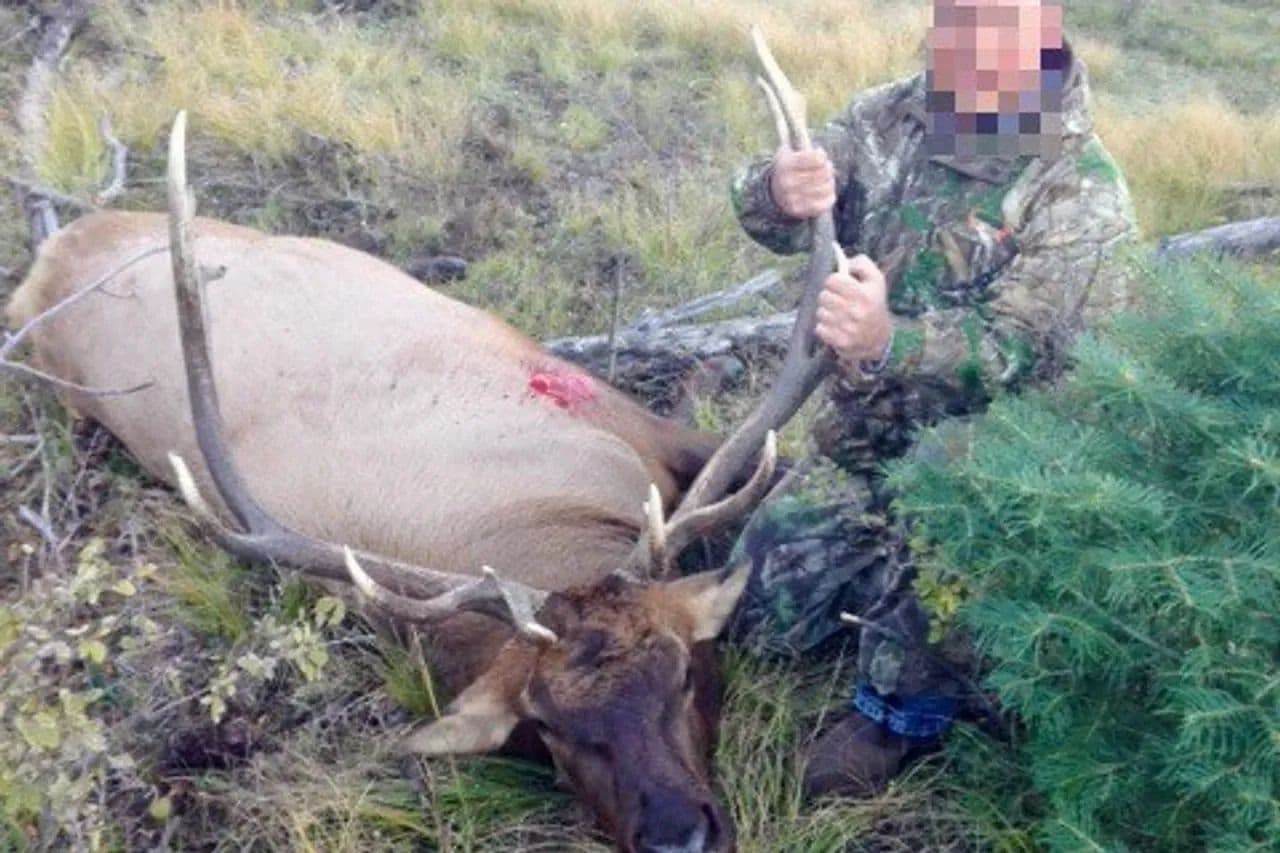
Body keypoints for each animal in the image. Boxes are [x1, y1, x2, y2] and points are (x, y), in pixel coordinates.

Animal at [4, 30, 840, 853]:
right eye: (546, 727)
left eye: (684, 669)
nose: (677, 835)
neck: (543, 533)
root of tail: (51, 253)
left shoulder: (638, 422)